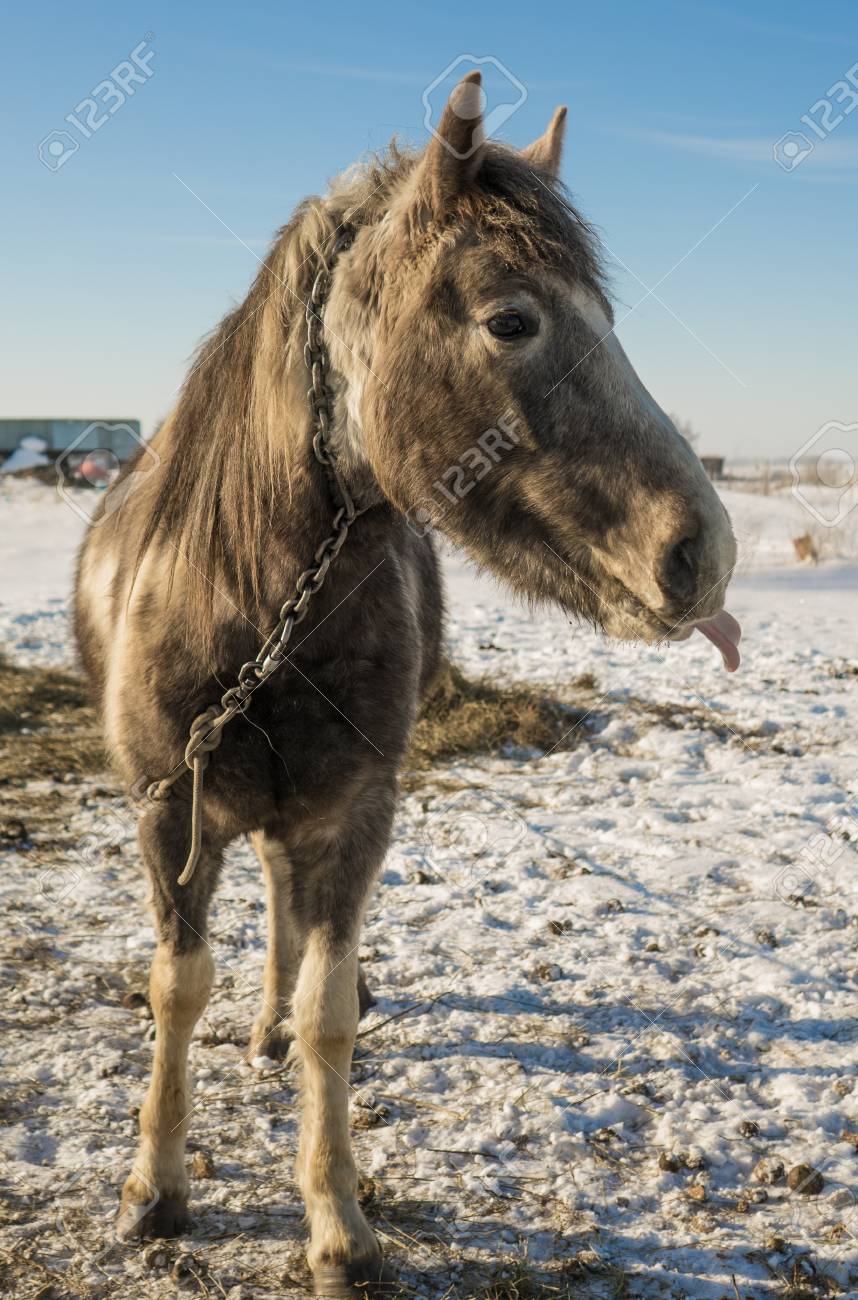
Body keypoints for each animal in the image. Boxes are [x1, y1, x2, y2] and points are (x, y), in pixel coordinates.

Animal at [73, 72, 738, 1296]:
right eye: (512, 319)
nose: (703, 552)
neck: (252, 601)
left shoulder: (355, 810)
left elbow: (329, 1006)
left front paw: (338, 1222)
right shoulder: (165, 806)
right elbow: (174, 988)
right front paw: (155, 1188)